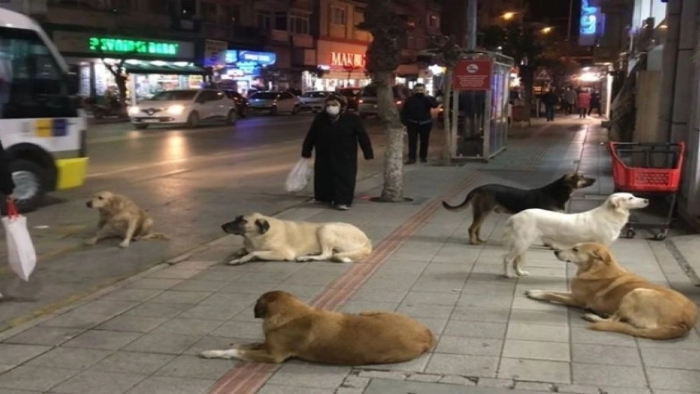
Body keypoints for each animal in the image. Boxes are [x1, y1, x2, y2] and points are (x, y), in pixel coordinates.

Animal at [200, 290, 434, 364]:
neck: (291, 313)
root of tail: (428, 334)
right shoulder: (268, 345)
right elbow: (249, 344)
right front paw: (227, 346)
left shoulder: (274, 356)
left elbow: (239, 352)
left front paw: (214, 353)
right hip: (368, 311)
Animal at [224, 212, 372, 264]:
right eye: (235, 218)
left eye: (243, 221)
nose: (222, 226)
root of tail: (368, 241)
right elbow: (243, 250)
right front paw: (237, 254)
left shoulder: (283, 253)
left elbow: (254, 253)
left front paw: (241, 259)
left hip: (326, 228)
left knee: (327, 254)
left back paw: (305, 257)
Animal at [440, 172, 592, 243]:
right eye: (582, 176)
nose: (594, 179)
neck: (557, 192)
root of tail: (477, 189)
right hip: (482, 211)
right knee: (471, 228)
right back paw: (473, 242)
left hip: (482, 212)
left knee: (477, 228)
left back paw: (479, 240)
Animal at [500, 192, 648, 278]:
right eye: (630, 198)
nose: (647, 200)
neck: (610, 214)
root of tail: (516, 216)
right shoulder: (603, 244)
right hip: (522, 242)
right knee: (507, 259)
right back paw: (508, 275)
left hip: (523, 243)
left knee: (516, 260)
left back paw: (519, 272)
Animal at [528, 242, 696, 340]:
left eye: (575, 249)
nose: (555, 251)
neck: (596, 269)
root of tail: (686, 322)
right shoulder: (574, 294)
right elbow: (553, 290)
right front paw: (535, 290)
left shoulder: (577, 300)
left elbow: (552, 294)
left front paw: (536, 294)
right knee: (618, 319)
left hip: (637, 292)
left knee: (615, 321)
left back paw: (593, 317)